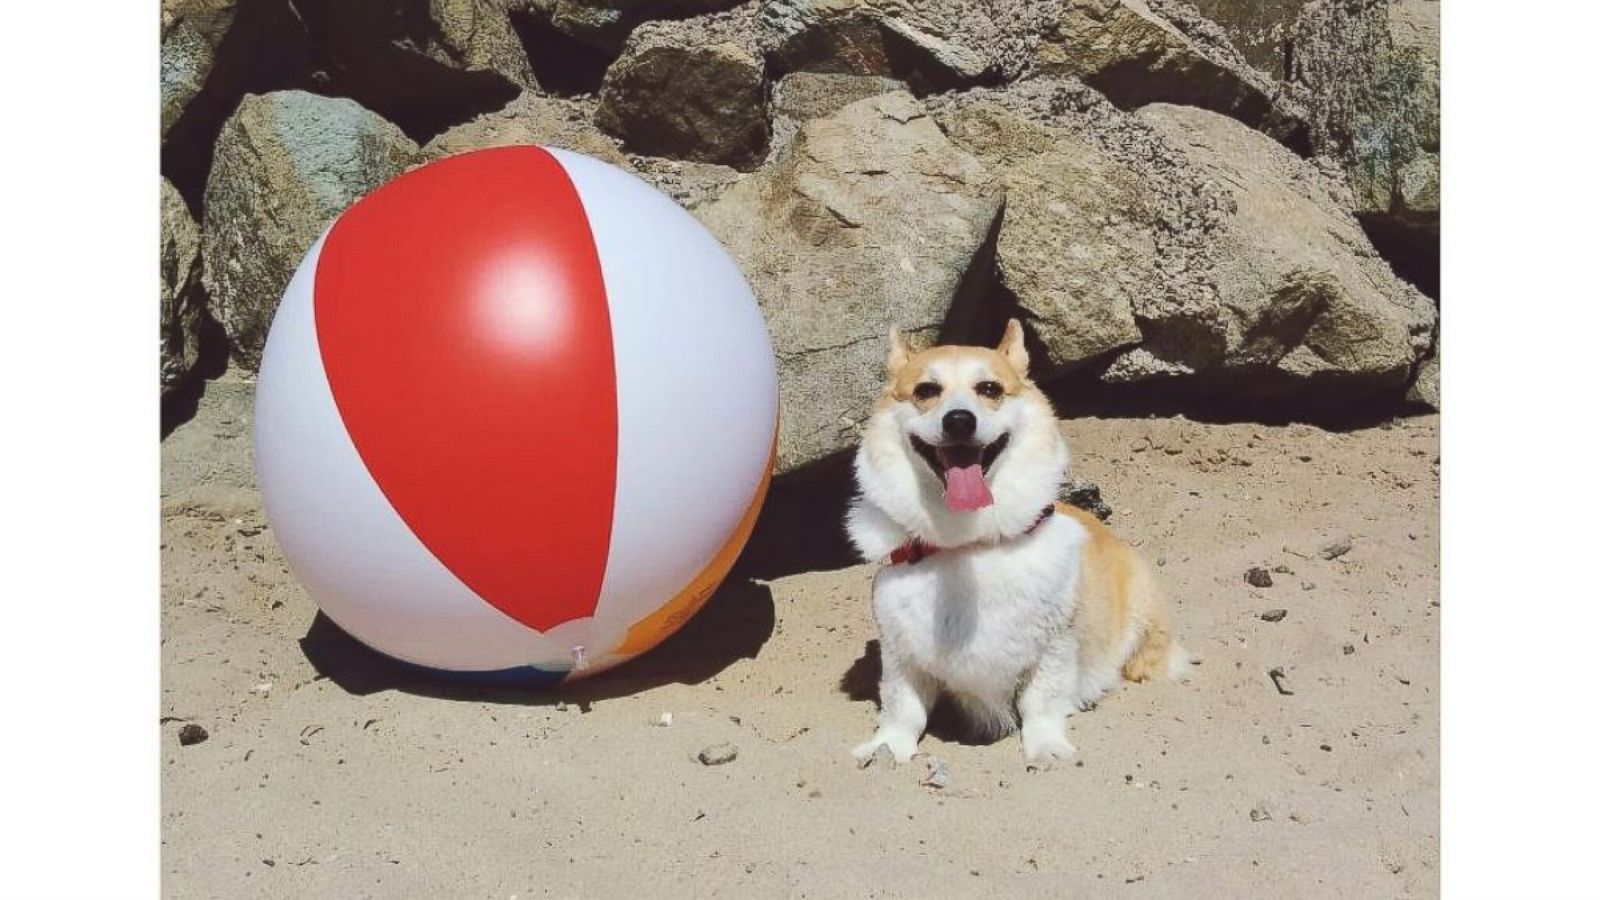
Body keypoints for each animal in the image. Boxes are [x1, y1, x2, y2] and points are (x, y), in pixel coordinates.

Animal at [851, 318, 1190, 759]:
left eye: (989, 389)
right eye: (926, 390)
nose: (959, 420)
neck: (968, 542)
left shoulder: (1054, 647)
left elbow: (1040, 701)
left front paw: (1045, 747)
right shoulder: (900, 656)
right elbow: (902, 706)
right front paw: (888, 748)